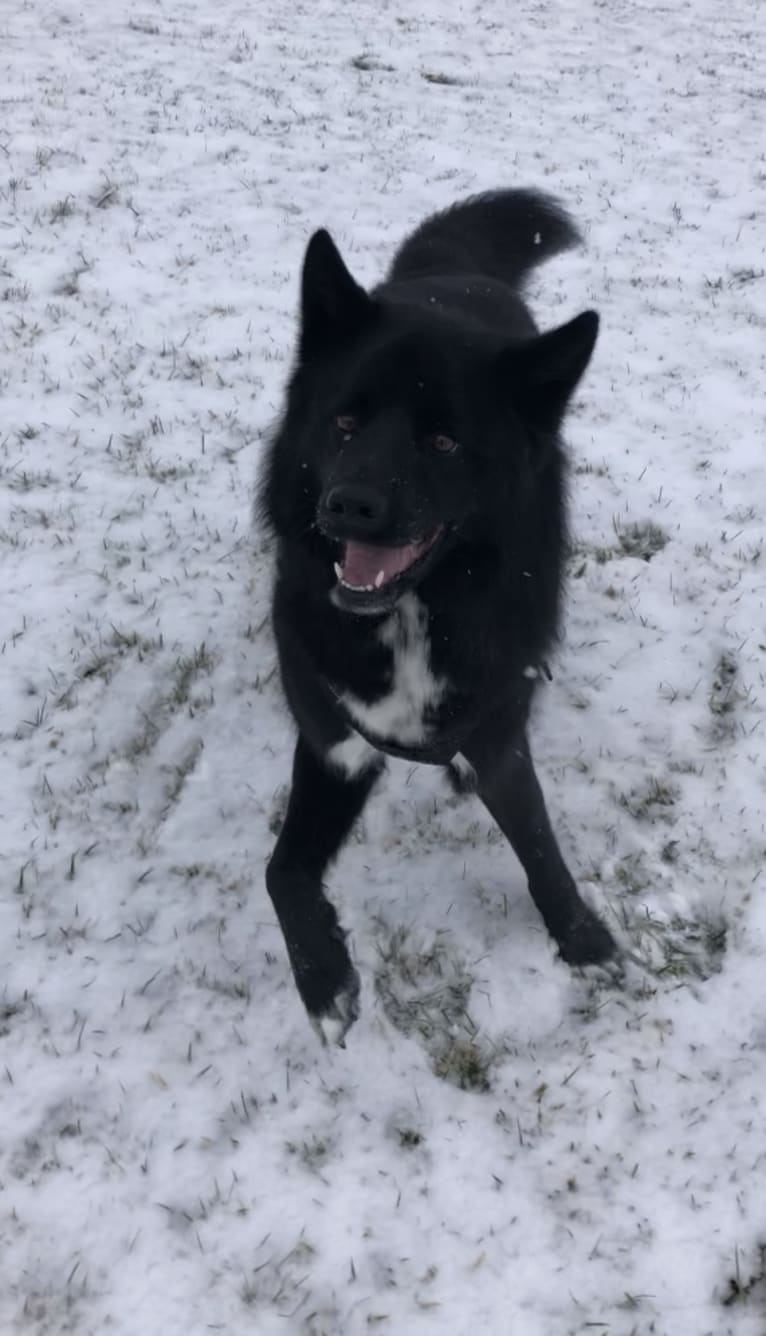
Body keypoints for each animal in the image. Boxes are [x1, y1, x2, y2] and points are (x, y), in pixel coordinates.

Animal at [259, 191, 617, 1042]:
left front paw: (580, 938)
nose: (348, 507)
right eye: (344, 423)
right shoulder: (334, 746)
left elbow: (539, 845)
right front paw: (324, 978)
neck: (412, 616)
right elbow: (281, 871)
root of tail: (443, 271)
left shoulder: (496, 741)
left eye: (446, 441)